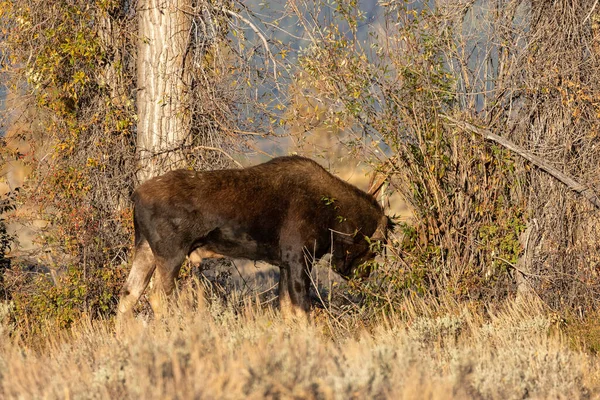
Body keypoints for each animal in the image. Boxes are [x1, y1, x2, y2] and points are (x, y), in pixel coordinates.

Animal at [117, 156, 390, 318]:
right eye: (375, 246)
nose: (363, 275)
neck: (333, 217)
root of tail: (135, 195)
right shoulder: (298, 259)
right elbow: (302, 307)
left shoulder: (284, 264)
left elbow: (286, 307)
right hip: (171, 253)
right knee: (156, 297)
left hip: (145, 248)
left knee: (128, 294)